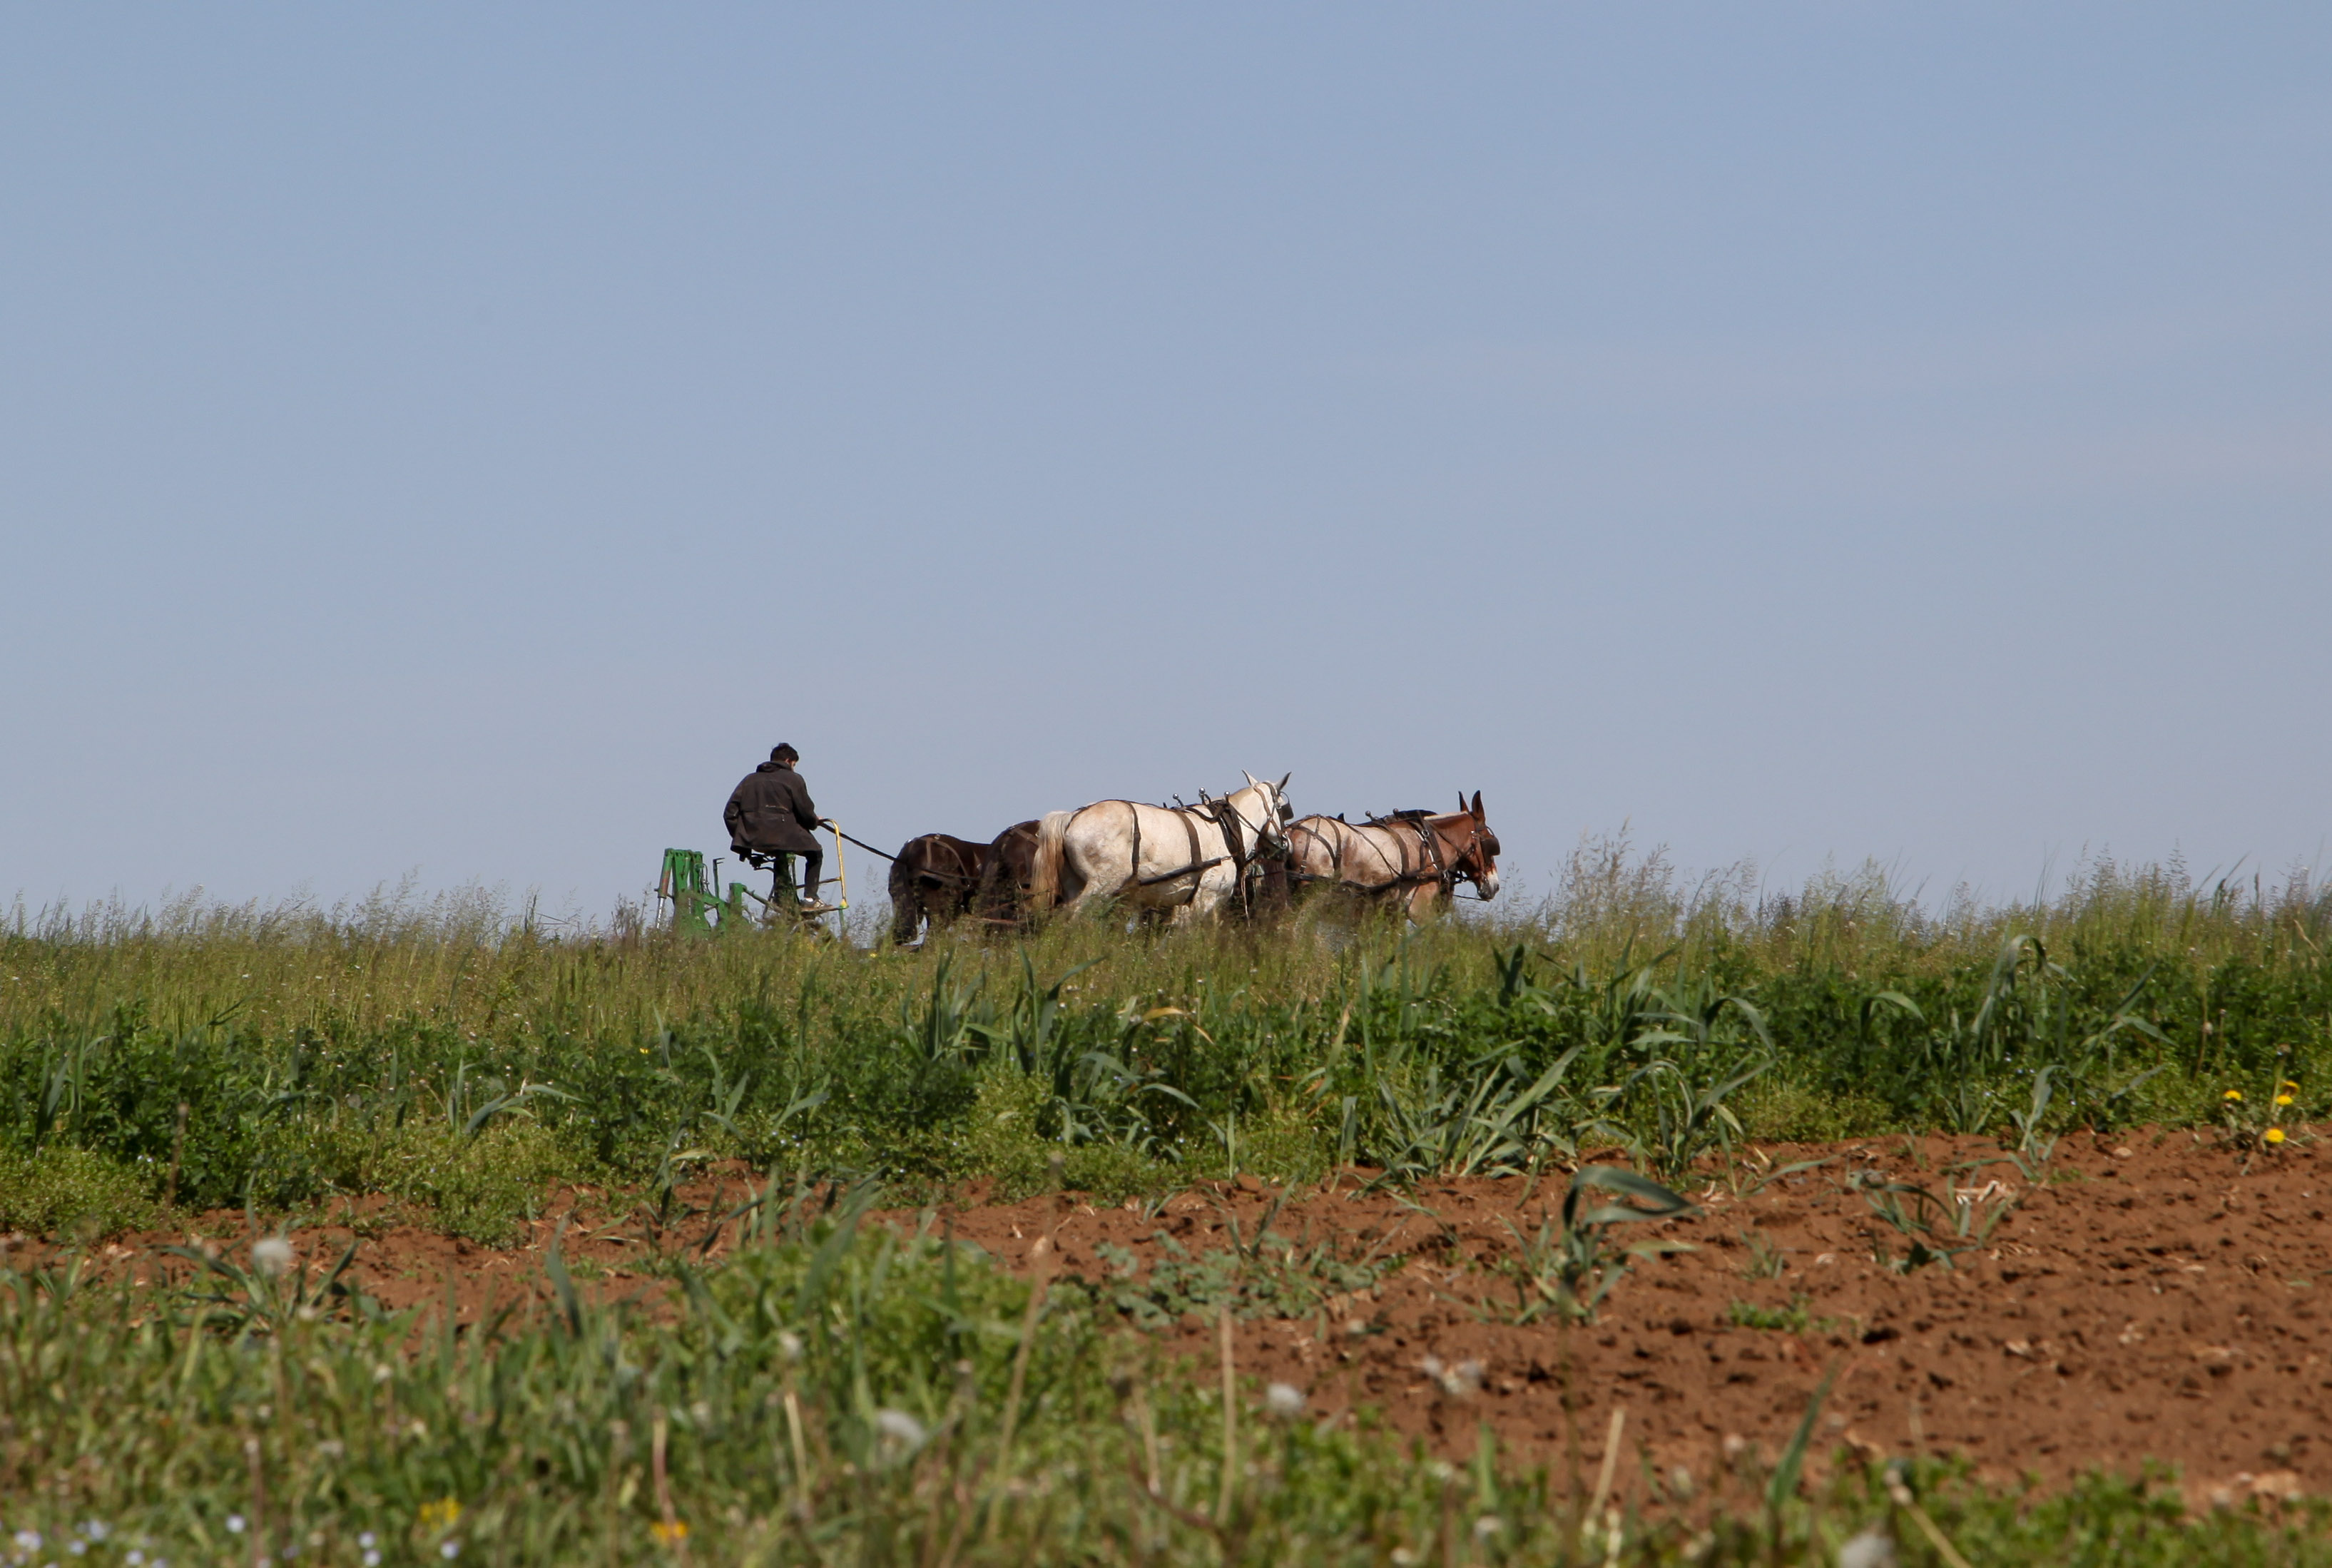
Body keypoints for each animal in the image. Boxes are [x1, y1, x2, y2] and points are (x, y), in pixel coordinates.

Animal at [1027, 773, 1292, 925]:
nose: (1285, 845)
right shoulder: (1205, 899)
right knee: (1075, 916)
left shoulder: (1178, 904)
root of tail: (1072, 817)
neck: (1227, 831)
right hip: (1100, 885)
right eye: (1282, 808)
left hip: (1075, 884)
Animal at [1285, 791, 1500, 921]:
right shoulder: (1419, 909)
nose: (1495, 886)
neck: (1430, 845)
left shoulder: (1389, 914)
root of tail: (1291, 831)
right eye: (1491, 844)